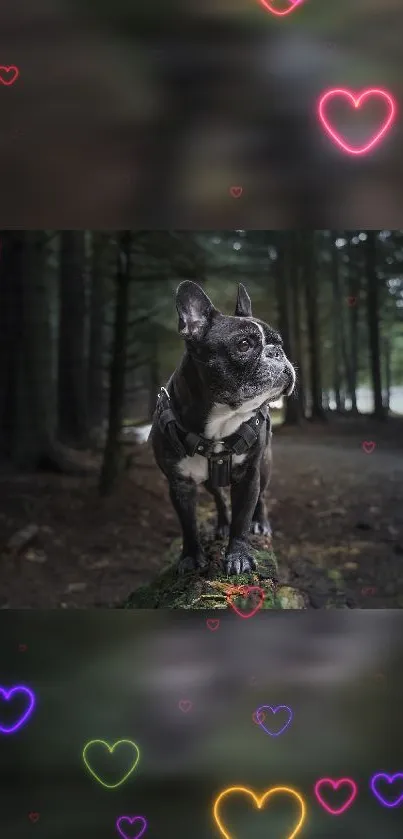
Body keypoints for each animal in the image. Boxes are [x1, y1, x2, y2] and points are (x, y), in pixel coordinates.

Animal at [150, 282, 296, 576]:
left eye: (279, 343)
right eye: (244, 345)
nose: (277, 353)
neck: (222, 421)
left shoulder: (249, 475)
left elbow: (243, 518)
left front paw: (239, 555)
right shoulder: (179, 484)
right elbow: (188, 524)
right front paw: (191, 556)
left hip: (265, 464)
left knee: (262, 497)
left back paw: (260, 523)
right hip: (209, 480)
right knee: (218, 496)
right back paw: (222, 524)